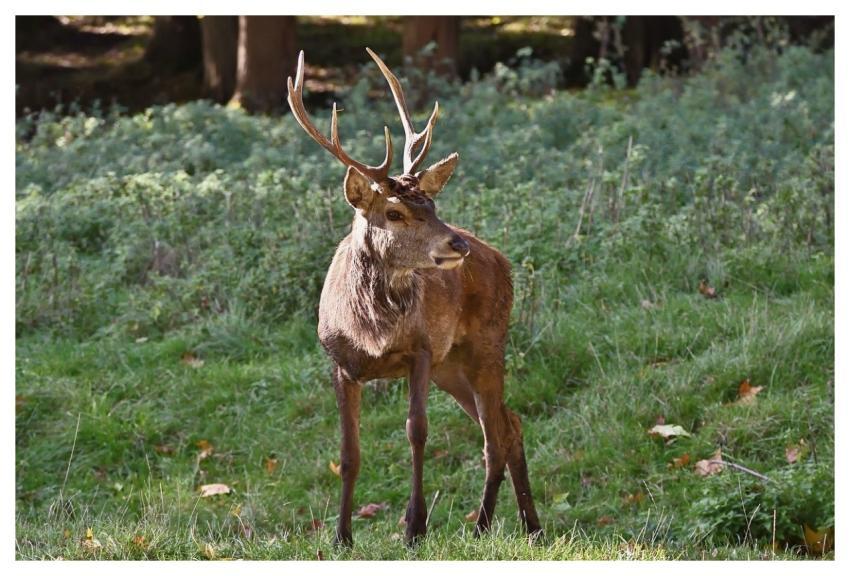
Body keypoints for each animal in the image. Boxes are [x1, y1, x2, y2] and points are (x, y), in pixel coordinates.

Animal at [286, 48, 542, 547]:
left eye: (432, 204)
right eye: (394, 212)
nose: (455, 244)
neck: (370, 332)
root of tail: (501, 258)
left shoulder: (421, 350)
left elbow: (417, 431)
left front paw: (414, 527)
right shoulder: (338, 363)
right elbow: (348, 453)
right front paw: (341, 537)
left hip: (486, 343)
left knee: (495, 434)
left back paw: (485, 525)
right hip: (452, 365)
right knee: (510, 423)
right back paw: (531, 527)